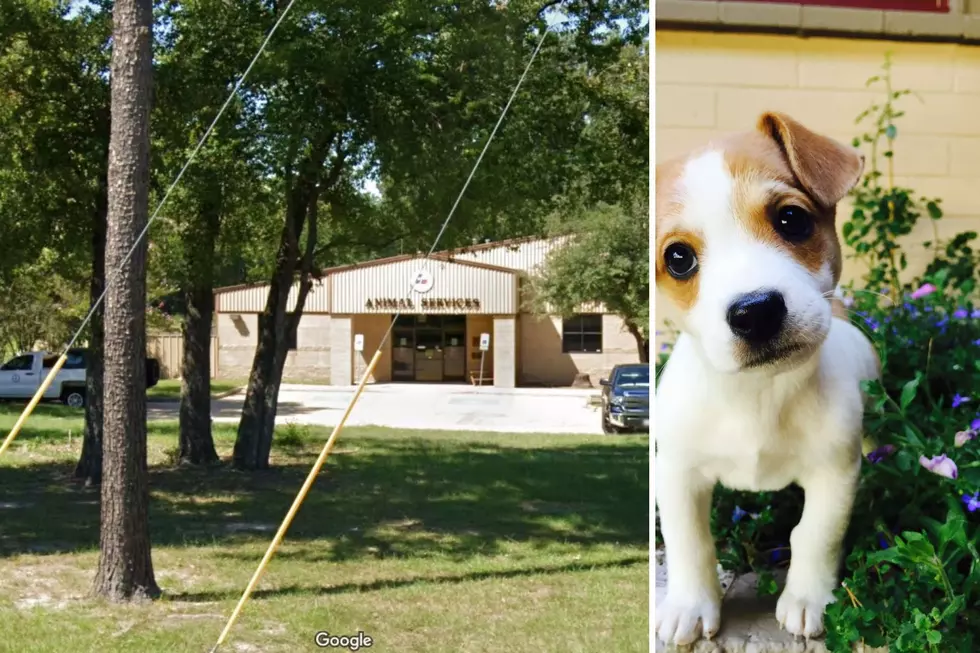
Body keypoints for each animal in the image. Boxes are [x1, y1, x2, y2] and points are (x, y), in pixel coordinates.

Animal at [656, 109, 876, 644]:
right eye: (678, 258)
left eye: (792, 219)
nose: (755, 311)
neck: (756, 394)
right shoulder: (675, 473)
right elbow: (688, 540)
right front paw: (690, 604)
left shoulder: (835, 474)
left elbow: (816, 535)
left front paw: (808, 599)